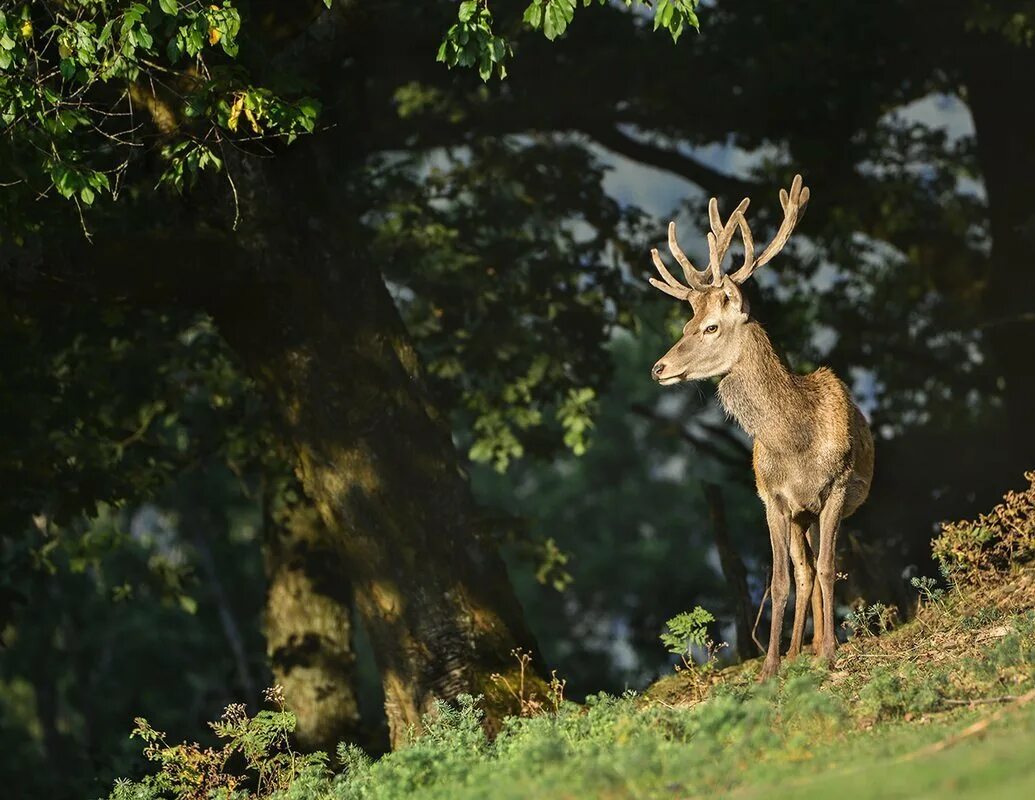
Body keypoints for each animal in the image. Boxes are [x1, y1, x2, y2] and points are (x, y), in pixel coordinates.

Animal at [645, 175, 873, 678]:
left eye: (710, 327)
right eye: (685, 324)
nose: (658, 368)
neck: (798, 443)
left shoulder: (837, 485)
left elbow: (827, 568)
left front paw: (831, 652)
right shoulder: (772, 498)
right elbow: (783, 580)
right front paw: (771, 667)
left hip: (822, 510)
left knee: (820, 566)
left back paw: (820, 645)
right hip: (799, 515)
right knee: (801, 570)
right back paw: (798, 650)